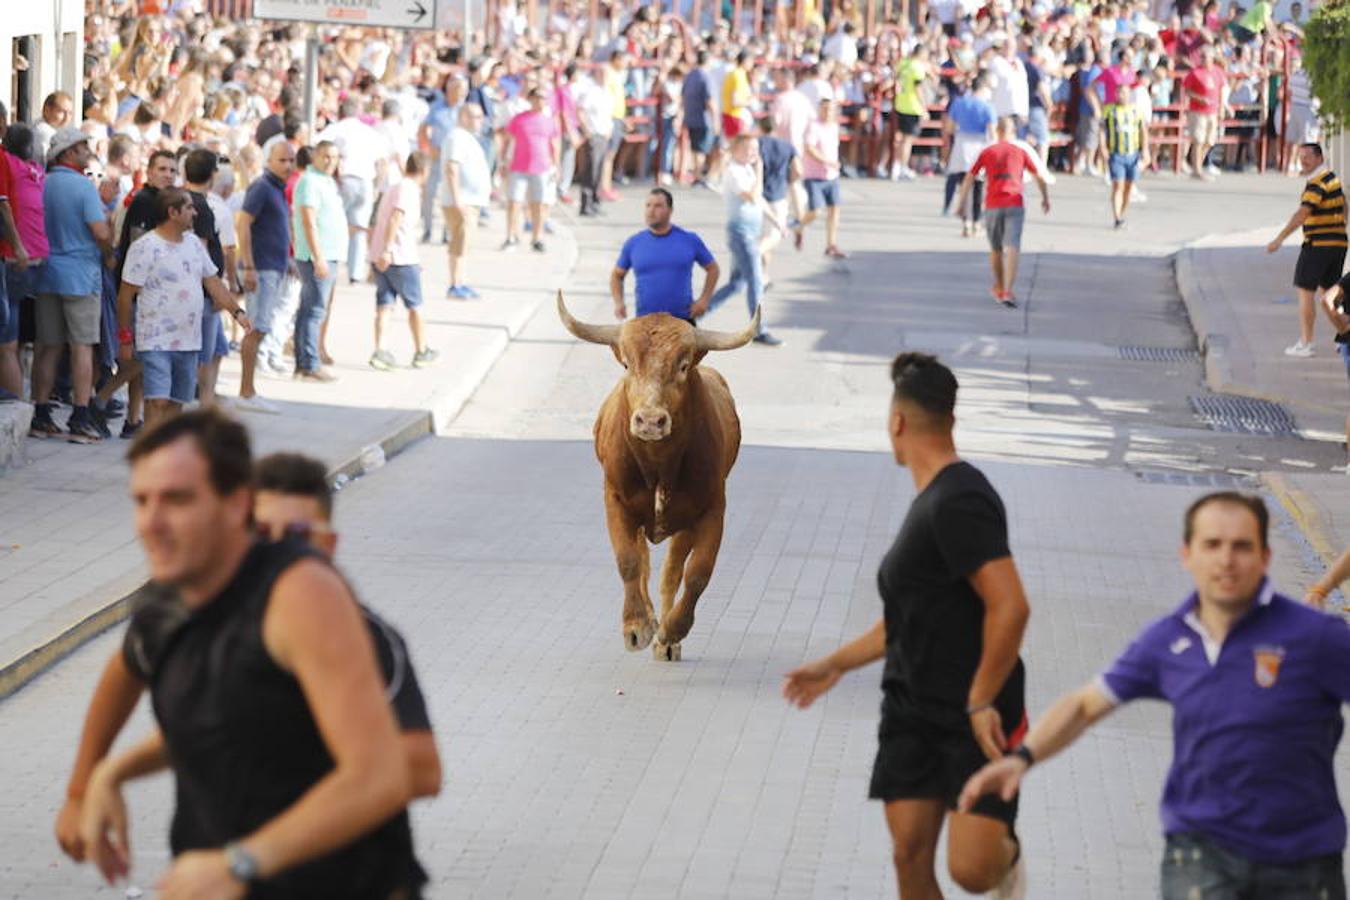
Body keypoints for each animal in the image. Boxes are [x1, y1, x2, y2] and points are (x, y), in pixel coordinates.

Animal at [556, 292, 761, 658]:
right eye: (626, 364)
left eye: (683, 365)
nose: (650, 421)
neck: (658, 464)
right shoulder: (616, 501)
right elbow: (628, 561)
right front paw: (636, 626)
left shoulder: (711, 510)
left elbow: (697, 572)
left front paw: (673, 630)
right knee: (644, 561)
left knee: (671, 572)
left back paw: (666, 638)